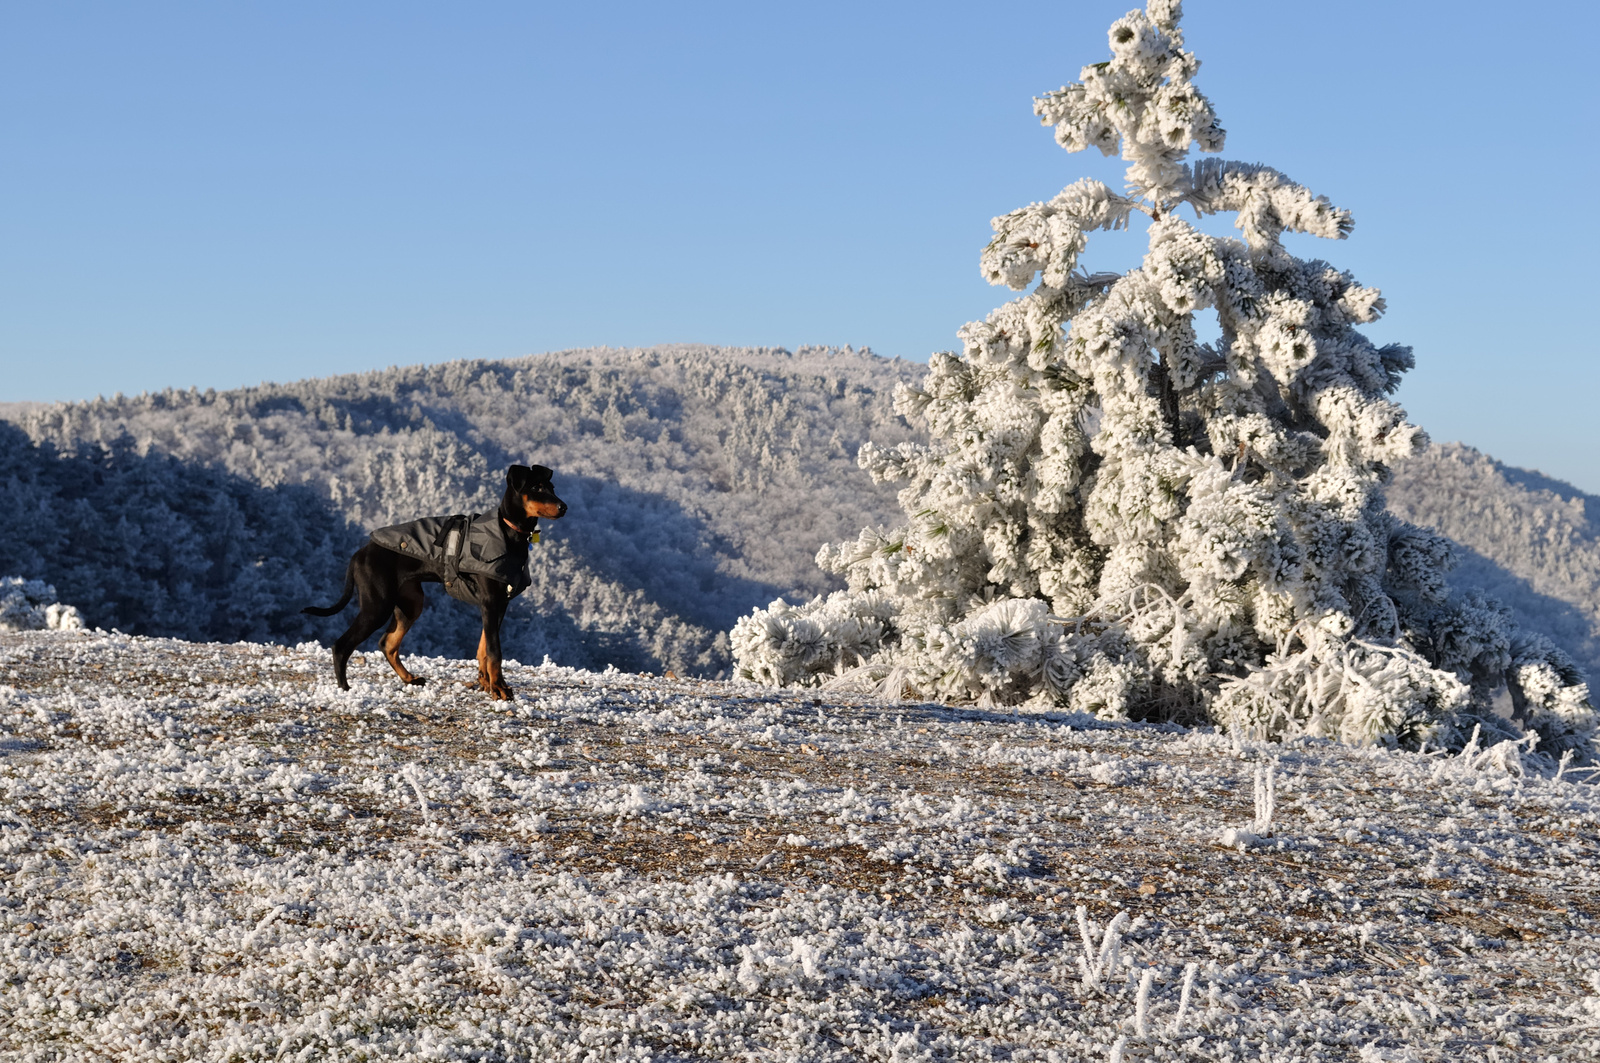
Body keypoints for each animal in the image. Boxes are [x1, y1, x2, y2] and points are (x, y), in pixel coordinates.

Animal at [302, 464, 566, 697]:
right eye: (537, 487)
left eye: (552, 487)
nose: (563, 507)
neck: (509, 532)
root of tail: (360, 553)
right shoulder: (491, 602)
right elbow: (494, 650)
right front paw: (499, 688)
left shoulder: (500, 604)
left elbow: (483, 647)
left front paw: (485, 682)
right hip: (377, 605)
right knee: (342, 645)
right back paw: (344, 688)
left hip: (411, 603)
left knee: (387, 643)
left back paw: (409, 679)